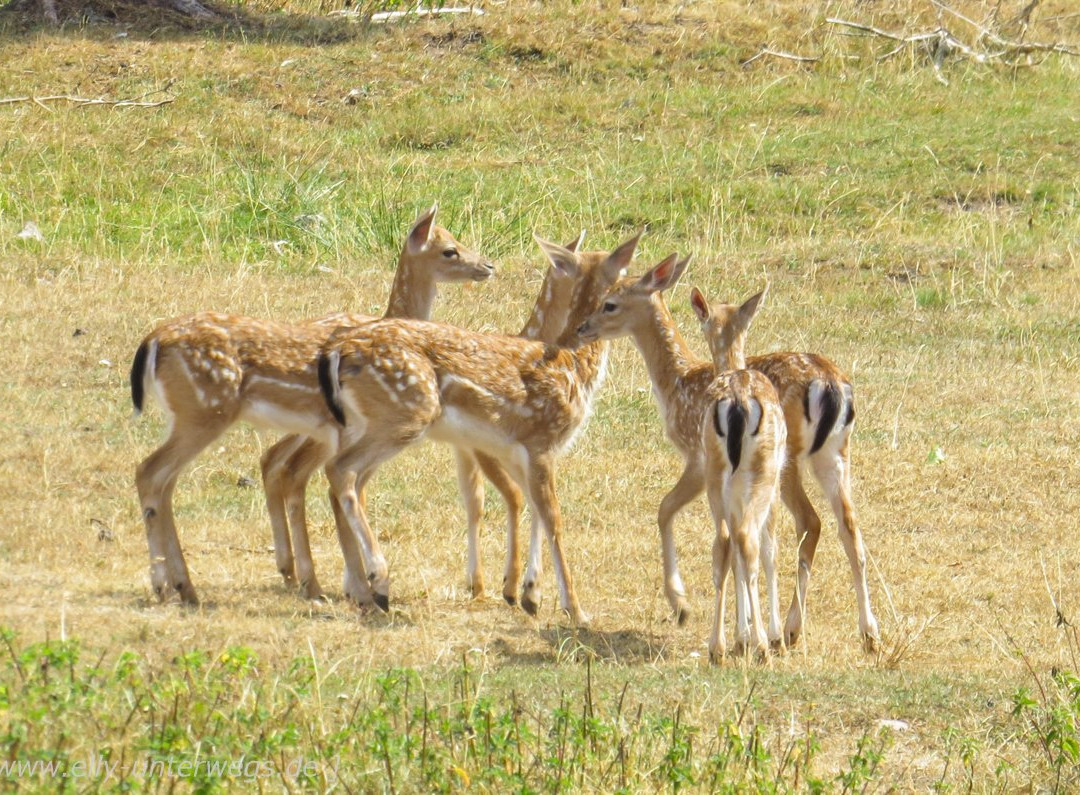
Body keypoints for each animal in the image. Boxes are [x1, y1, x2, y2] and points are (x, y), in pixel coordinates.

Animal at [129, 201, 494, 604]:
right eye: (449, 250)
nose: (488, 265)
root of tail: (152, 340)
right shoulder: (339, 431)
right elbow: (341, 488)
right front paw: (359, 585)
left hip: (193, 416)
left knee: (192, 477)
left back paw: (197, 585)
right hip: (205, 410)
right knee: (154, 472)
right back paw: (171, 585)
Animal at [315, 230, 639, 622]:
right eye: (623, 276)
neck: (572, 365)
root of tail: (339, 350)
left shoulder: (511, 450)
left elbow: (521, 506)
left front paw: (528, 593)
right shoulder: (536, 442)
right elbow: (549, 516)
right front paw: (571, 609)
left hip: (366, 425)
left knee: (342, 481)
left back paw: (360, 587)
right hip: (404, 416)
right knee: (339, 470)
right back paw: (377, 580)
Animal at [578, 259, 781, 656]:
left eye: (610, 303)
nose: (582, 327)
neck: (675, 383)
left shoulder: (697, 460)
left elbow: (665, 509)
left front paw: (681, 604)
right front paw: (745, 633)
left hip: (733, 475)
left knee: (737, 540)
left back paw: (736, 642)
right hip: (771, 474)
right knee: (767, 539)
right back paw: (775, 636)